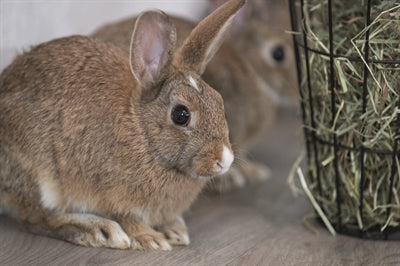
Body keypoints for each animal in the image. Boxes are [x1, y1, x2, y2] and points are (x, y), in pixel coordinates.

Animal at [0, 0, 247, 249]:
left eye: (219, 101)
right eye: (181, 115)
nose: (225, 160)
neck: (142, 133)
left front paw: (175, 230)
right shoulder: (110, 197)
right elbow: (127, 219)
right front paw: (151, 239)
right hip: (38, 172)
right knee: (34, 217)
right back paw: (98, 230)